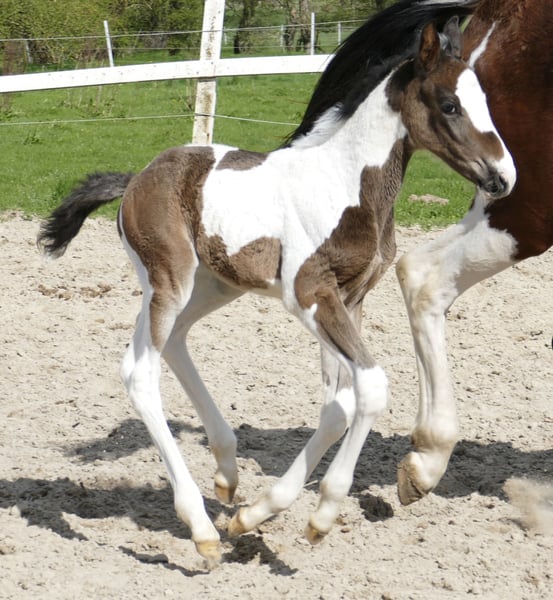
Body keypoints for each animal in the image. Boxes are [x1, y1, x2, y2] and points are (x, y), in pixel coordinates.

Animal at [37, 0, 512, 564]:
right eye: (449, 104)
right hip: (169, 281)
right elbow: (371, 388)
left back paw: (226, 473)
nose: (504, 177)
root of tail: (135, 179)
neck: (345, 184)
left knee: (167, 345)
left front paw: (259, 513)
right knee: (141, 373)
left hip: (213, 286)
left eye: (484, 101)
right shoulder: (309, 296)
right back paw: (201, 527)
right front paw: (321, 517)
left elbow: (339, 405)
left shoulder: (351, 299)